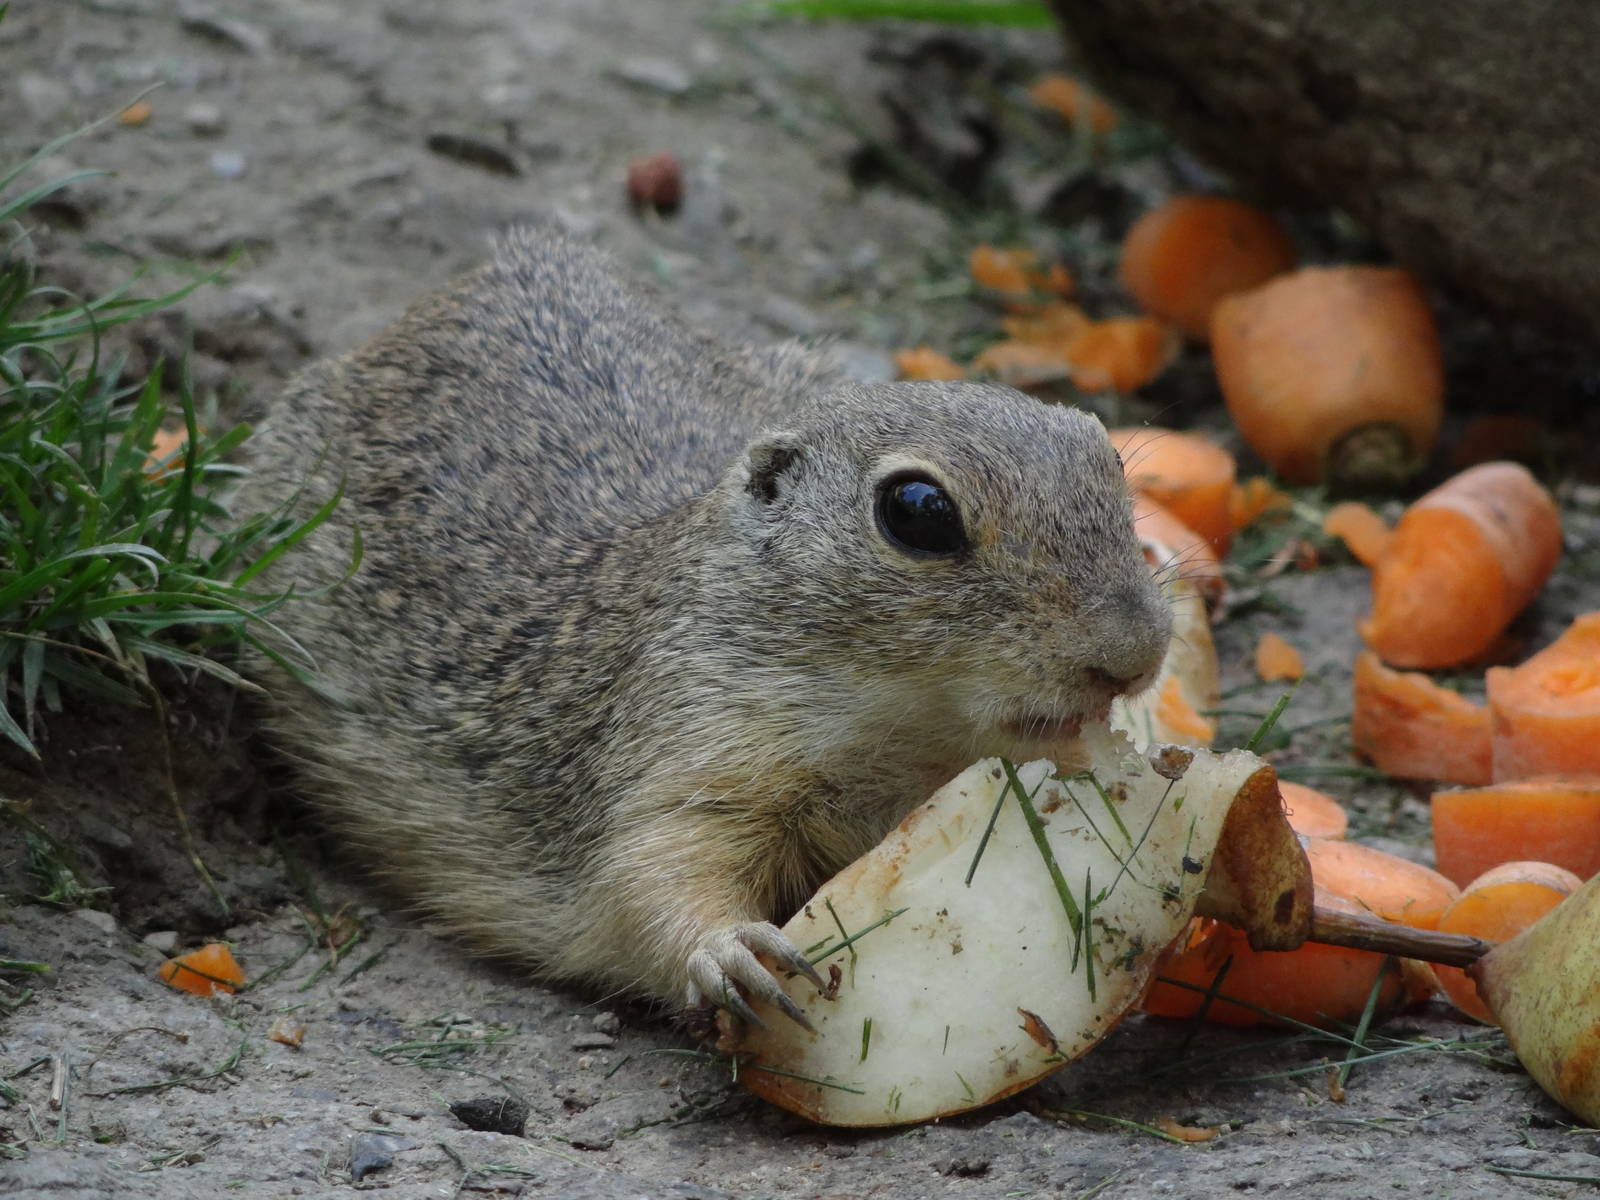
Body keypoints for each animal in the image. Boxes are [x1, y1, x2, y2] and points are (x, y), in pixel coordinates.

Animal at [238, 227, 1173, 1025]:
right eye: (916, 511)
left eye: (1109, 463)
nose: (1134, 656)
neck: (900, 724)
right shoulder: (688, 747)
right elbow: (652, 875)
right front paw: (734, 955)